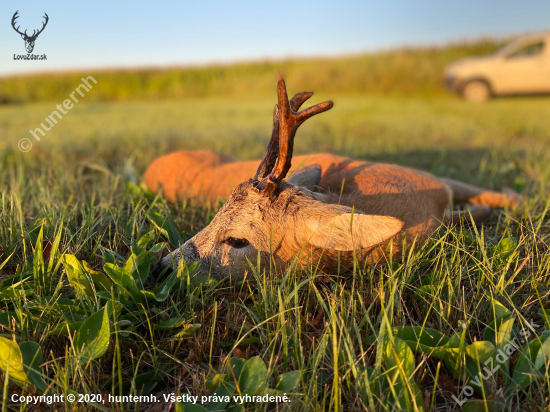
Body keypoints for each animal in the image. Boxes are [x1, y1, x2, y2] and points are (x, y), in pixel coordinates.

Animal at [150, 79, 520, 278]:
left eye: (238, 241)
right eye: (212, 217)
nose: (161, 267)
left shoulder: (435, 180)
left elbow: (500, 199)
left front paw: (516, 198)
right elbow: (479, 211)